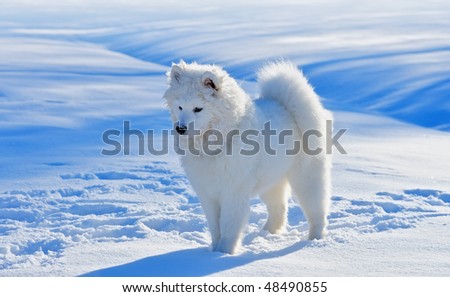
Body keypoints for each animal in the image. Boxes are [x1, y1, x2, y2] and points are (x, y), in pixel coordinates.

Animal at [163, 60, 332, 254]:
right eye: (180, 107)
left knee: (316, 210)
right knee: (279, 209)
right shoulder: (208, 193)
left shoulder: (233, 192)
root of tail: (288, 107)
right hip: (271, 180)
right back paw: (266, 233)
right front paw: (214, 250)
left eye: (198, 108)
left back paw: (314, 240)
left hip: (306, 178)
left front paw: (223, 252)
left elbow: (228, 225)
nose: (180, 128)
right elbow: (215, 226)